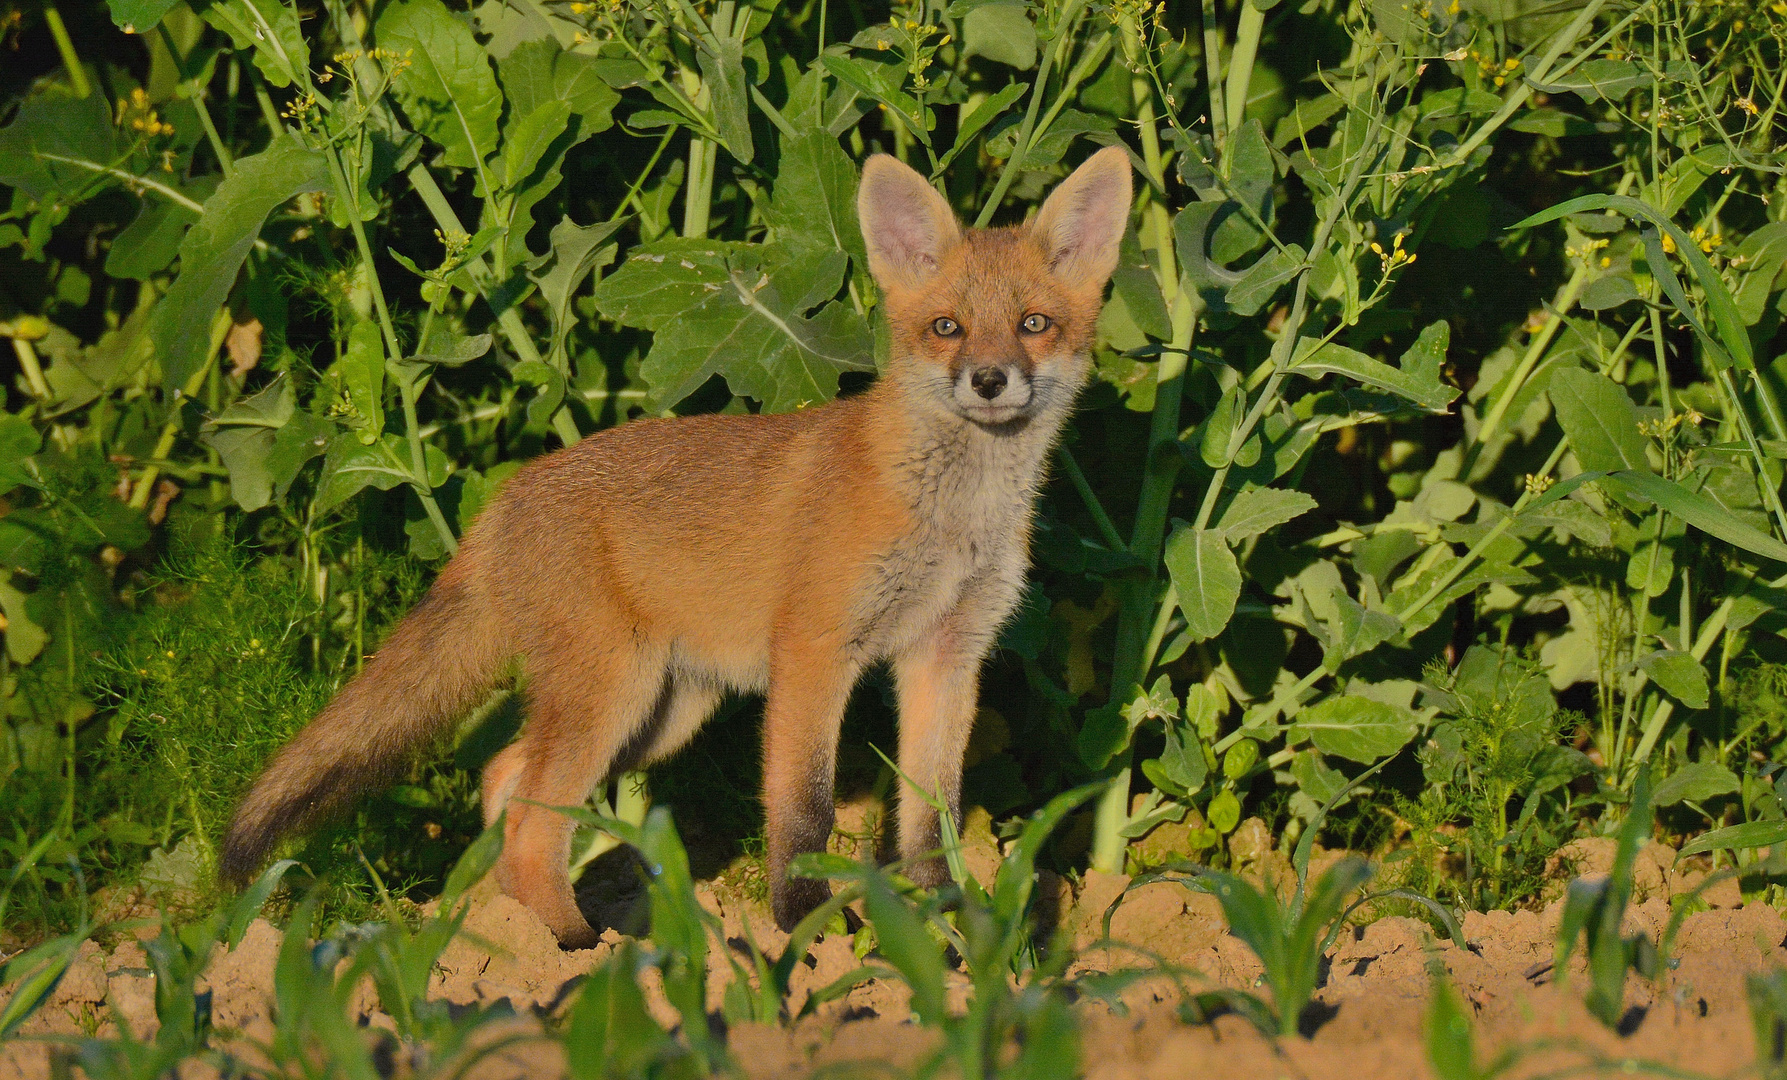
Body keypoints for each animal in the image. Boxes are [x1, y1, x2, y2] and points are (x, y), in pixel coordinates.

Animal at [223, 145, 1129, 944]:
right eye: (947, 327)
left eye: (1033, 325)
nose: (988, 380)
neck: (949, 515)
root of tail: (506, 497)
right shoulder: (815, 652)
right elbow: (804, 812)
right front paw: (804, 930)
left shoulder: (945, 655)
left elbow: (929, 817)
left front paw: (949, 929)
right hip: (615, 697)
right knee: (531, 820)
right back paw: (576, 953)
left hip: (664, 710)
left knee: (504, 778)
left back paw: (518, 933)